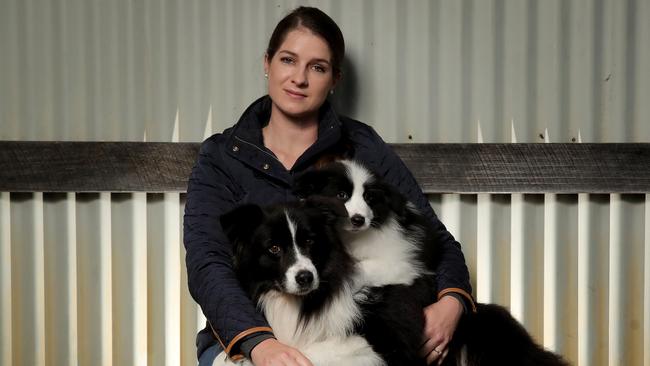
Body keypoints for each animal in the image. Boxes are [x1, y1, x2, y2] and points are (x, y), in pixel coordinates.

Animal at [292, 162, 568, 366]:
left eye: (369, 198)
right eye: (341, 195)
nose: (358, 219)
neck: (352, 240)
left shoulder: (401, 262)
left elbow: (367, 268)